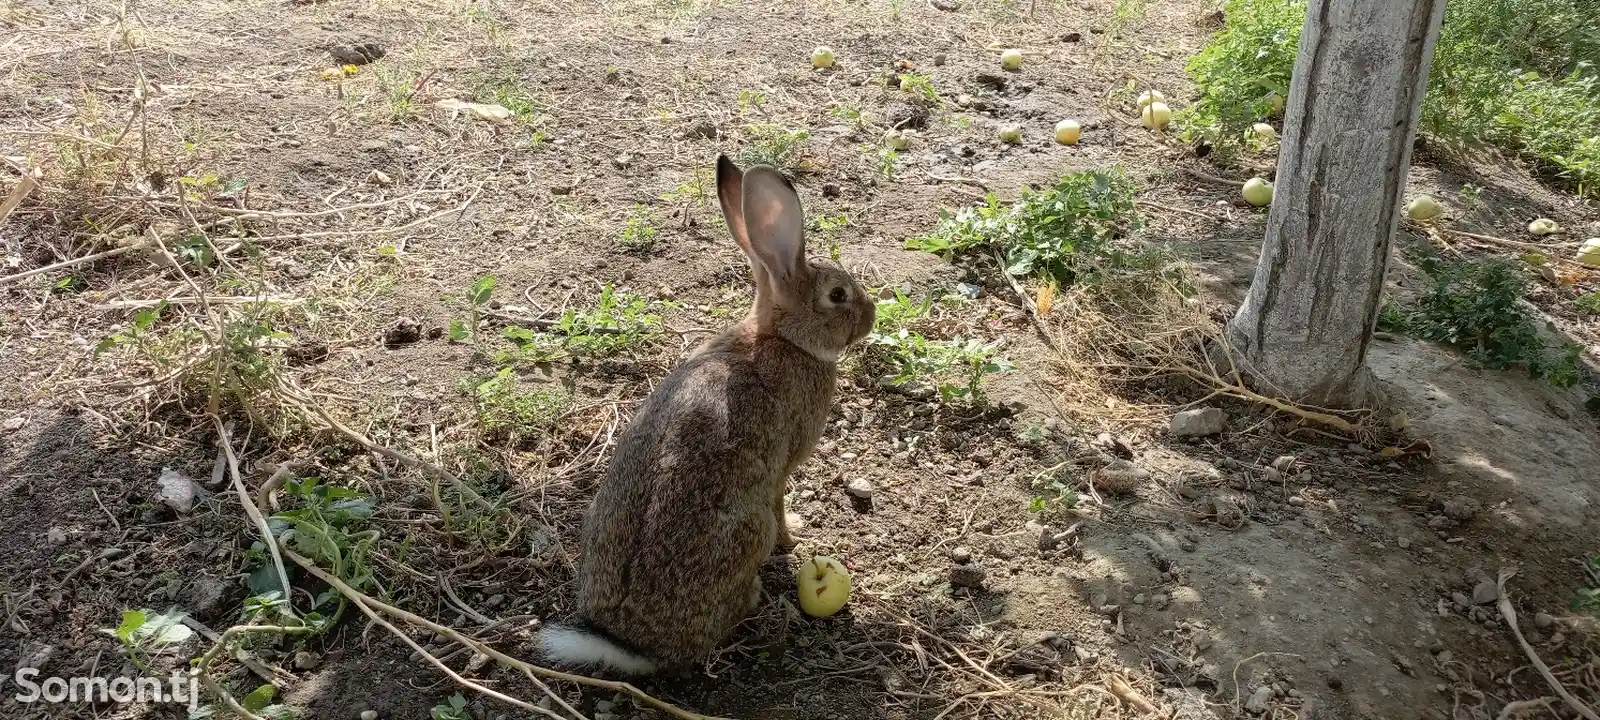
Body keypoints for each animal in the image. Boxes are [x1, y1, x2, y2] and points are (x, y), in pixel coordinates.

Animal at [534, 153, 876, 675]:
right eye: (838, 295)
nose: (873, 314)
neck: (782, 337)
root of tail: (636, 644)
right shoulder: (784, 466)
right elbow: (781, 501)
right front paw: (793, 538)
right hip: (746, 531)